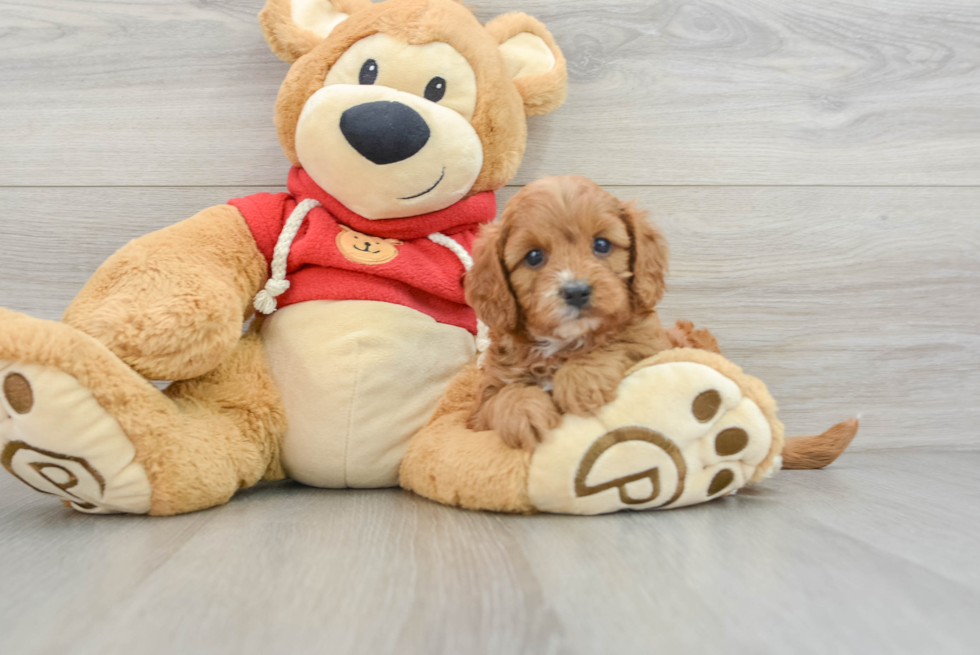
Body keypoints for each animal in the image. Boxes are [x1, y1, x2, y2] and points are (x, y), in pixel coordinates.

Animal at [464, 176, 716, 452]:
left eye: (602, 244)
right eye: (533, 256)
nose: (576, 291)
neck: (562, 344)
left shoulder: (652, 346)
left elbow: (619, 343)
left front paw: (580, 380)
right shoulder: (478, 411)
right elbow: (498, 398)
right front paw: (523, 411)